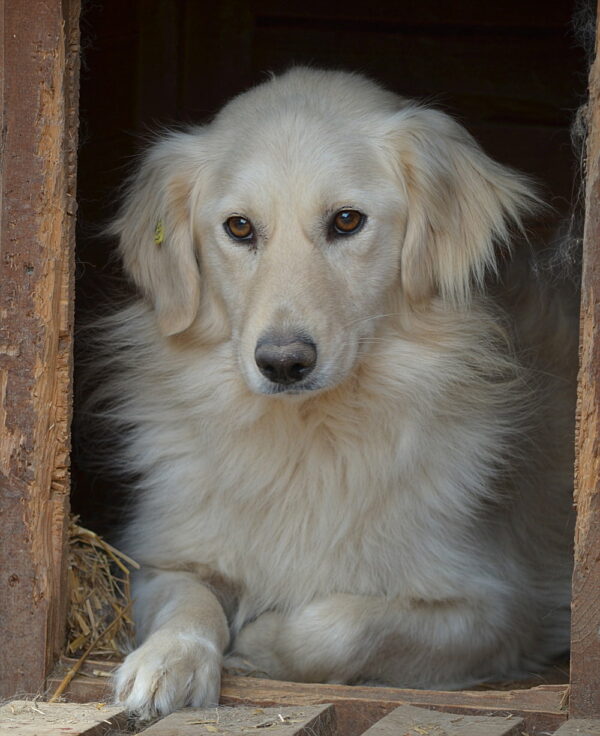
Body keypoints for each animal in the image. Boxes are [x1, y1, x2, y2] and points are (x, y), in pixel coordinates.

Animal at [92, 69, 576, 720]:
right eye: (239, 227)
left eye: (347, 221)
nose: (282, 363)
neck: (310, 439)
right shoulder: (159, 559)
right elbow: (190, 602)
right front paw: (170, 658)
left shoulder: (501, 610)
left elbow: (334, 625)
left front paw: (258, 639)